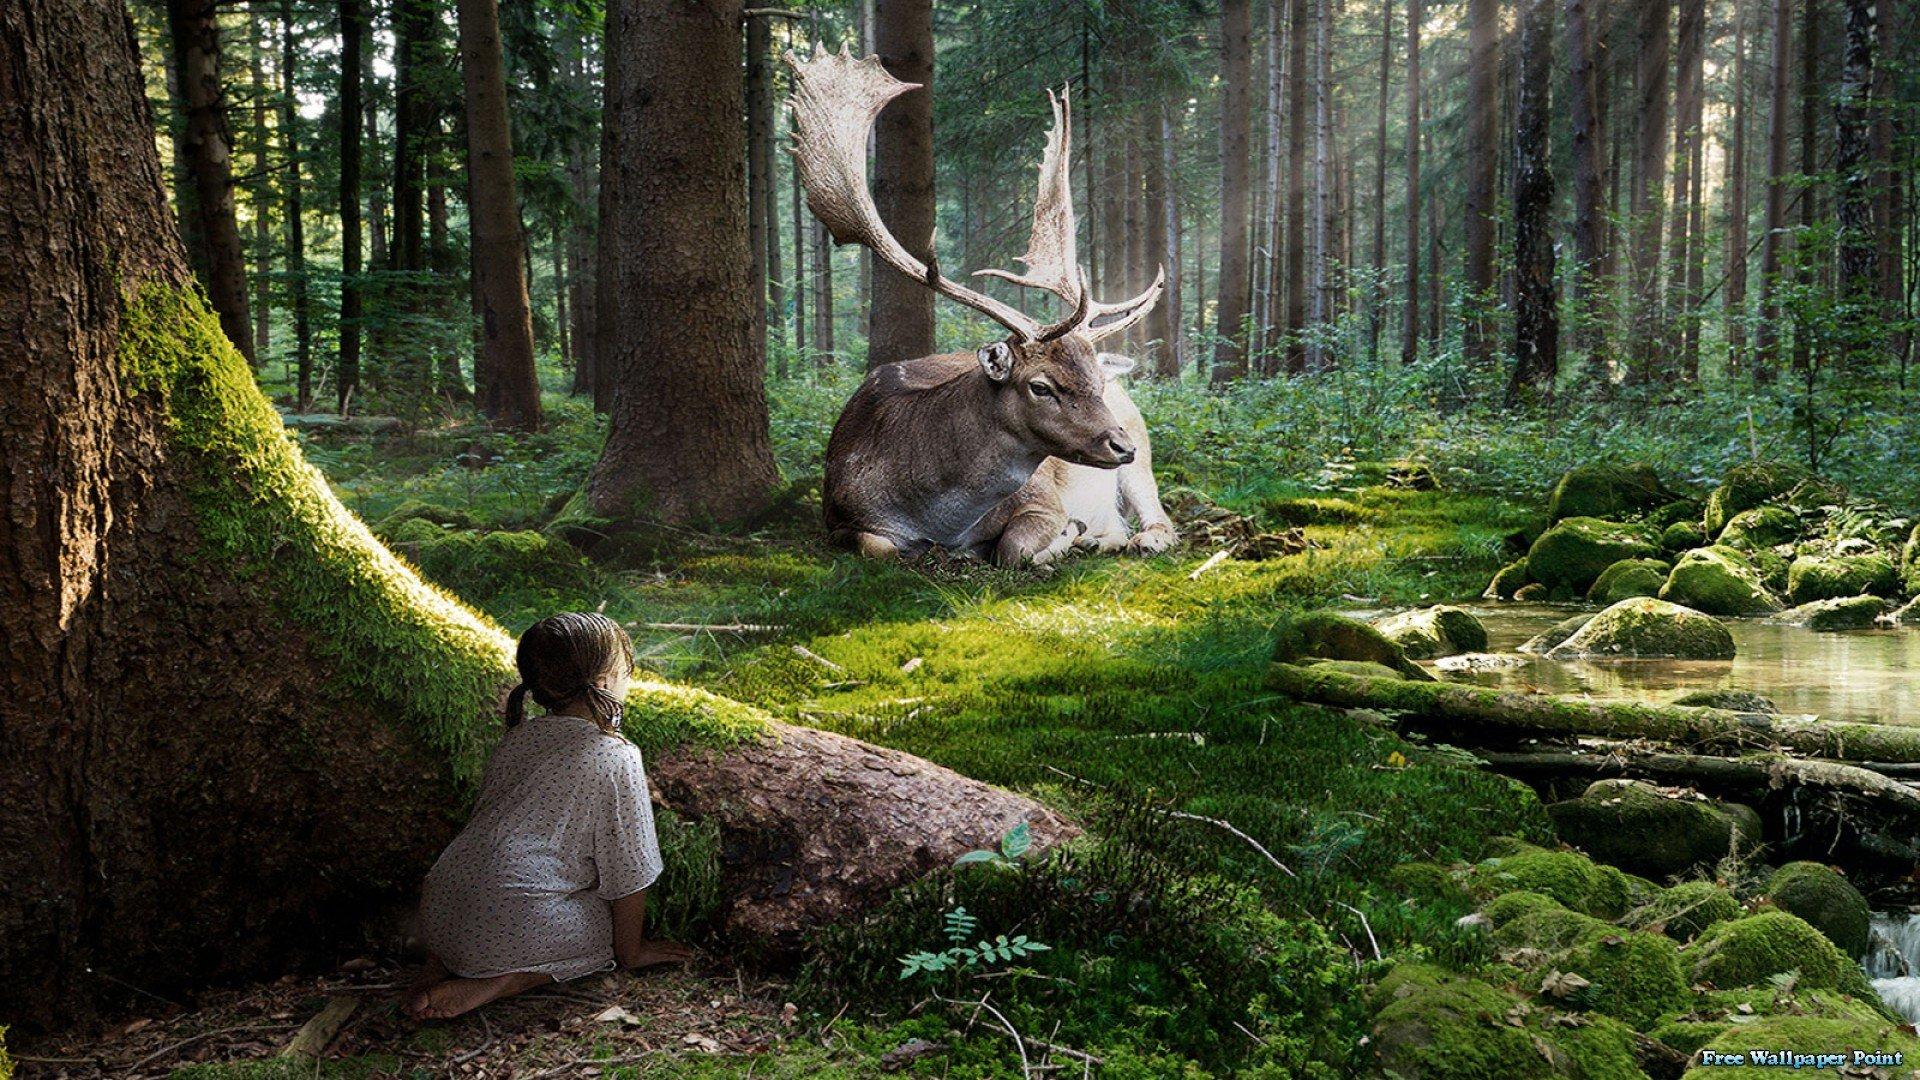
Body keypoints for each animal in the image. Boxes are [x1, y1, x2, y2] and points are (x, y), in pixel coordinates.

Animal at [787, 47, 1178, 565]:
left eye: (1095, 382)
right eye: (1040, 387)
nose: (1120, 445)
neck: (937, 518)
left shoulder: (1042, 497)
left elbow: (1013, 548)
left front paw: (1060, 537)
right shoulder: (836, 516)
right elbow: (879, 547)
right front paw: (1069, 537)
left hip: (1142, 446)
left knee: (1159, 516)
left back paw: (1135, 536)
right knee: (1115, 523)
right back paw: (1096, 536)